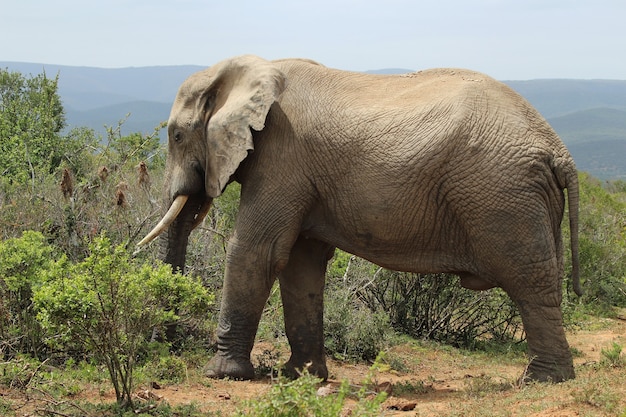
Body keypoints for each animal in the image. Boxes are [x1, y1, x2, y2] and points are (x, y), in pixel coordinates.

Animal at [138, 55, 580, 384]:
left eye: (176, 136)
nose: (164, 345)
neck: (252, 69)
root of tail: (558, 151)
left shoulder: (282, 157)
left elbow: (257, 251)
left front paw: (221, 374)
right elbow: (301, 263)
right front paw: (302, 376)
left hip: (503, 193)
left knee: (529, 281)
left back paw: (541, 381)